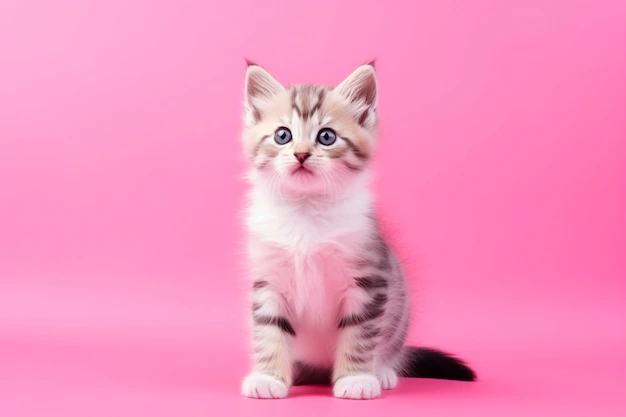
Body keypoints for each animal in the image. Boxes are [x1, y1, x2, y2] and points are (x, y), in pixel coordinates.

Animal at [239, 62, 472, 400]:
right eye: (283, 136)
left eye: (326, 136)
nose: (301, 154)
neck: (306, 209)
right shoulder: (268, 279)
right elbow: (269, 331)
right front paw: (268, 378)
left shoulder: (369, 280)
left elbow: (359, 334)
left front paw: (356, 378)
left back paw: (383, 371)